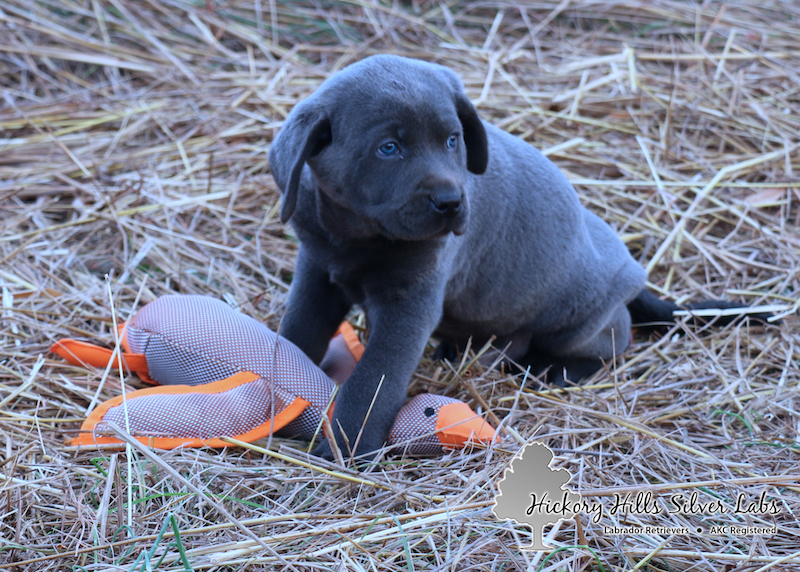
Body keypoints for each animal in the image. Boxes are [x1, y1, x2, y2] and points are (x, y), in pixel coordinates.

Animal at [268, 54, 756, 460]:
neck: (358, 235)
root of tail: (634, 279)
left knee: (613, 340)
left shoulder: (410, 301)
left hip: (578, 316)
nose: (450, 201)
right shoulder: (317, 270)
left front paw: (349, 443)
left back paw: (550, 369)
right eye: (388, 148)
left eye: (453, 140)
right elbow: (297, 333)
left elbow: (375, 377)